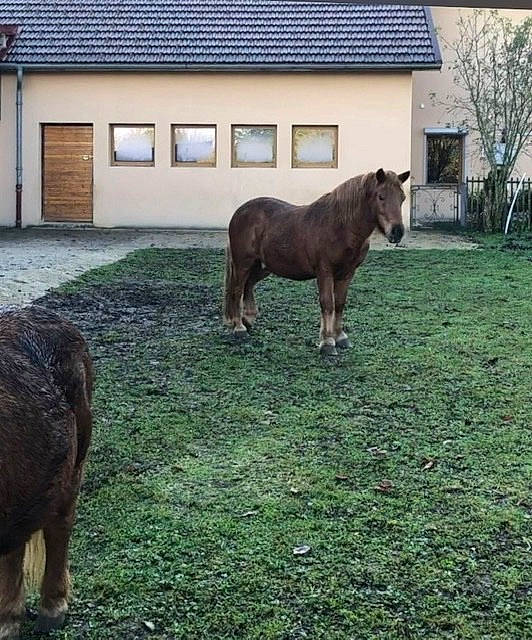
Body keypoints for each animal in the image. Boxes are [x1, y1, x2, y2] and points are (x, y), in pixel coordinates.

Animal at [224, 168, 410, 354]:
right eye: (381, 196)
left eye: (402, 197)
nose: (397, 232)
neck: (341, 227)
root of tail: (240, 212)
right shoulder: (324, 272)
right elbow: (327, 304)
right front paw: (327, 342)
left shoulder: (347, 274)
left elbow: (340, 303)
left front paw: (340, 337)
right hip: (243, 264)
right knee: (237, 290)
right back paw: (239, 328)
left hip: (262, 266)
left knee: (248, 285)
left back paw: (247, 319)